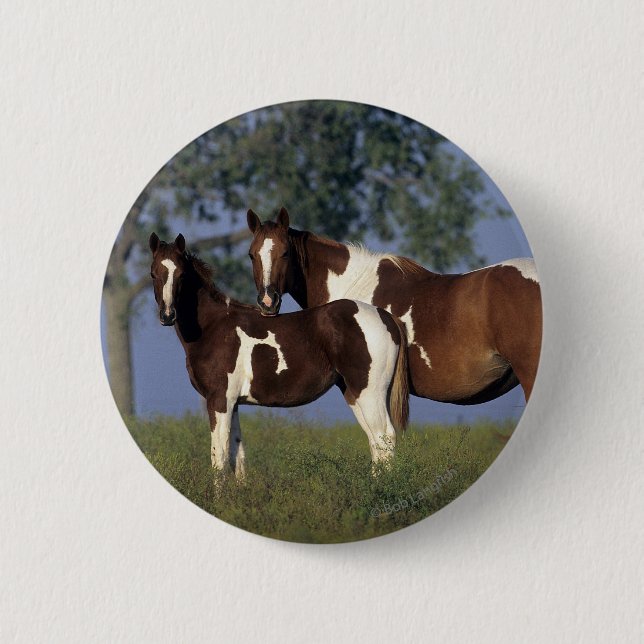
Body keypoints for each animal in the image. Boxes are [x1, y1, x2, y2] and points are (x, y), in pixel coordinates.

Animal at [148, 232, 409, 478]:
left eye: (182, 274)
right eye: (153, 273)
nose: (168, 315)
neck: (214, 326)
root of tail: (386, 317)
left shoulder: (219, 400)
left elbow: (219, 459)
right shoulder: (233, 403)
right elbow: (236, 457)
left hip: (370, 393)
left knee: (384, 437)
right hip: (355, 393)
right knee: (375, 442)